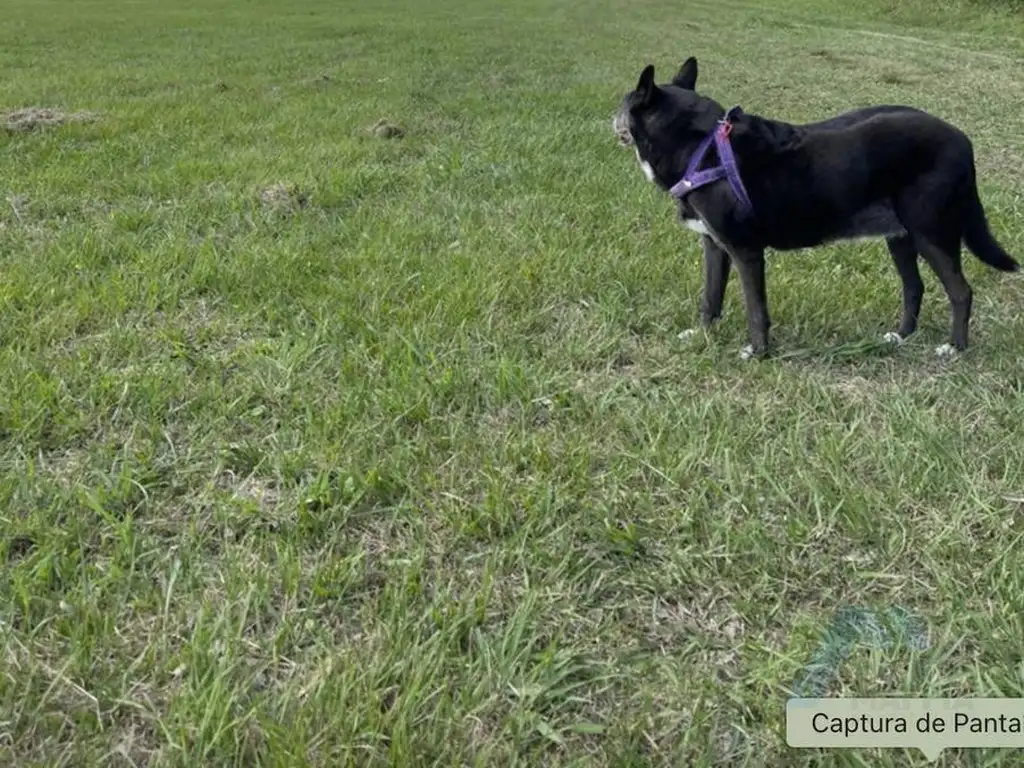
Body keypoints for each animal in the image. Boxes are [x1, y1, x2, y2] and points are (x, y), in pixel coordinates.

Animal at [610, 58, 1019, 360]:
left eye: (625, 103)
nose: (610, 117)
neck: (703, 146)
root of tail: (962, 140)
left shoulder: (746, 251)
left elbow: (756, 309)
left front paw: (758, 354)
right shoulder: (714, 246)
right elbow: (710, 298)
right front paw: (702, 336)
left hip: (931, 232)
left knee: (961, 292)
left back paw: (955, 348)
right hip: (900, 236)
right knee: (914, 287)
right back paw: (900, 337)